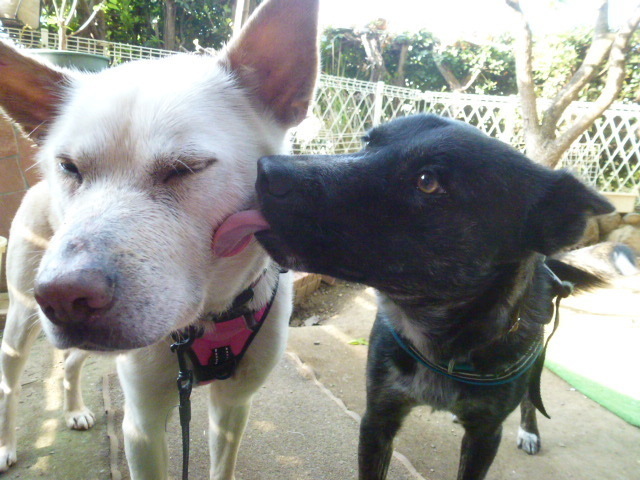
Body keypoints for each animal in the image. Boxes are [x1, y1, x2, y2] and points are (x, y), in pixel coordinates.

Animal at [0, 0, 318, 477]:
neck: (209, 318)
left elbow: (223, 462)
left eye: (186, 168)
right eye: (69, 167)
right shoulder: (143, 425)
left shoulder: (234, 406)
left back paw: (73, 408)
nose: (62, 297)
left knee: (71, 359)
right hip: (20, 316)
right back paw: (6, 445)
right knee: (9, 384)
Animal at [252, 114, 615, 479]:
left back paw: (529, 430)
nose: (265, 169)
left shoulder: (485, 436)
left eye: (428, 181)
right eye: (368, 142)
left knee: (530, 397)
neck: (441, 347)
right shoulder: (377, 419)